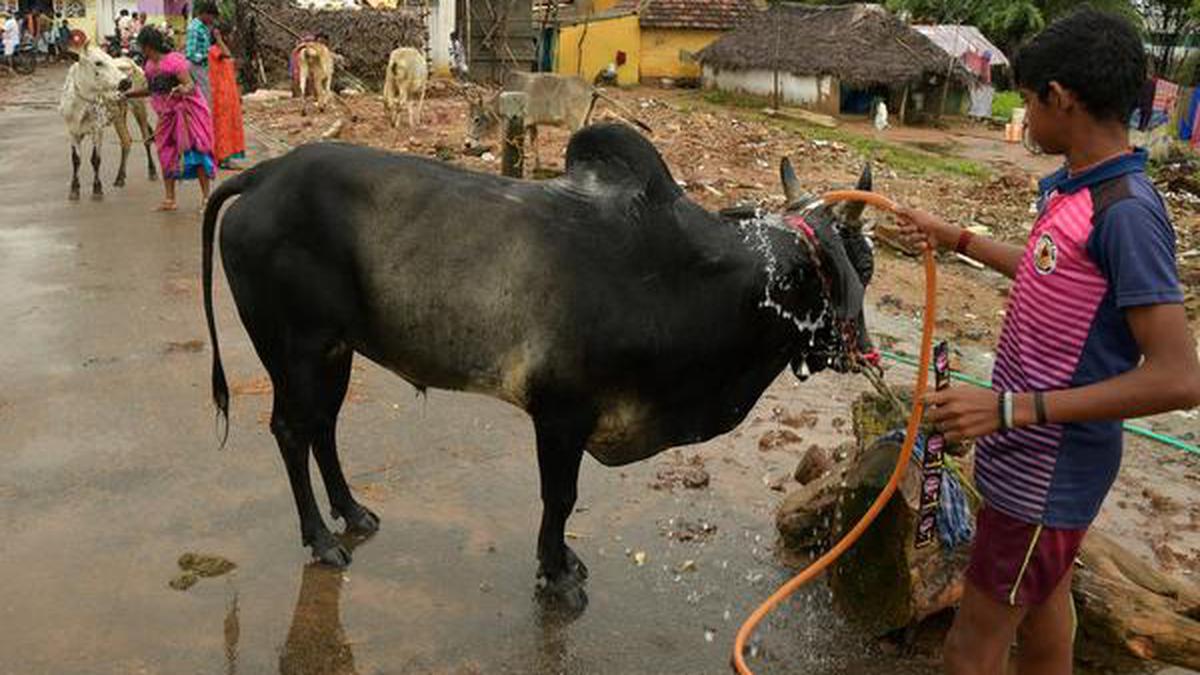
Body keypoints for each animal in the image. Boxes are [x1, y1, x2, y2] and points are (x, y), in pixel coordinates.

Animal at [201, 121, 878, 610]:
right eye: (857, 268)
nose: (865, 351)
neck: (690, 280)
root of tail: (264, 176)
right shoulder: (561, 414)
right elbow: (561, 497)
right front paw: (556, 575)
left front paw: (562, 564)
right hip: (295, 350)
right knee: (292, 431)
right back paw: (320, 539)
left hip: (335, 352)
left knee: (323, 428)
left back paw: (354, 513)